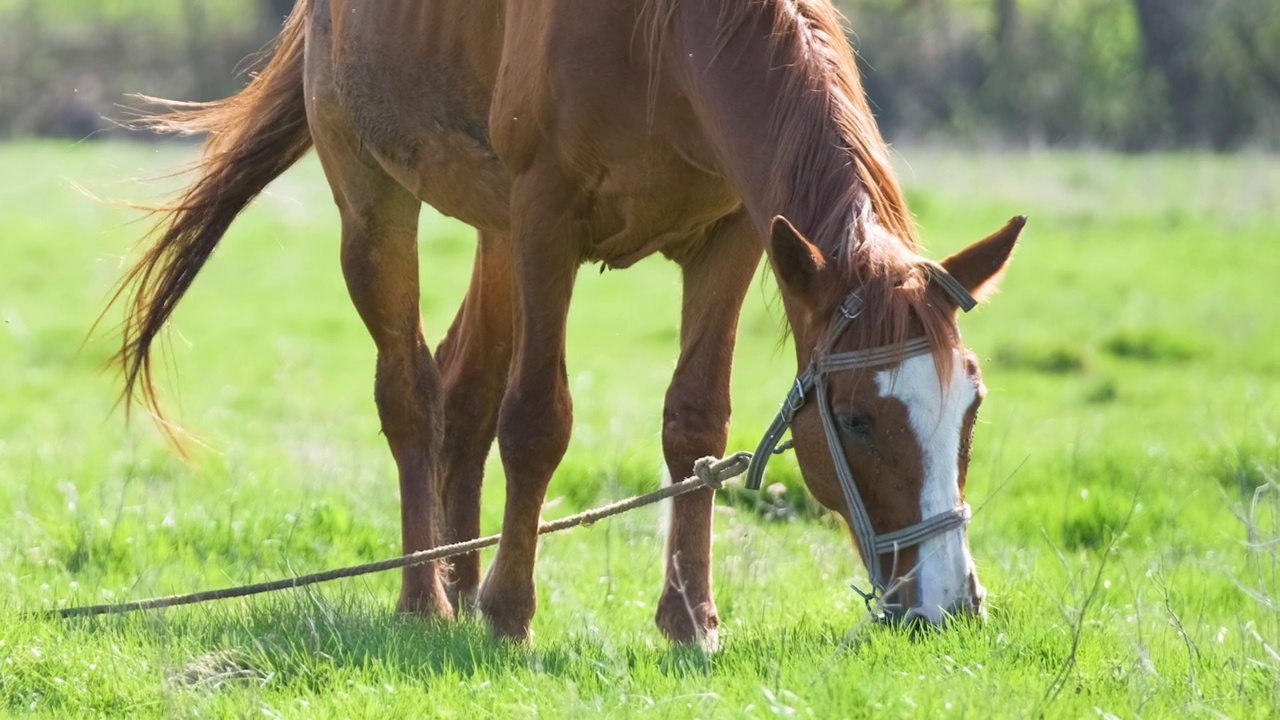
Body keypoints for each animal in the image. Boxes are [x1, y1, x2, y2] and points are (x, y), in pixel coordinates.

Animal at [115, 0, 1024, 645]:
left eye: (972, 409)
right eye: (858, 419)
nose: (949, 603)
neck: (666, 45)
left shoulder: (731, 235)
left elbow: (695, 422)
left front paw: (691, 620)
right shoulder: (547, 217)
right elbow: (536, 422)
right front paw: (511, 611)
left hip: (495, 233)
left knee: (463, 393)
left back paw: (460, 576)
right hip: (378, 199)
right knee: (412, 394)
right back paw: (427, 596)